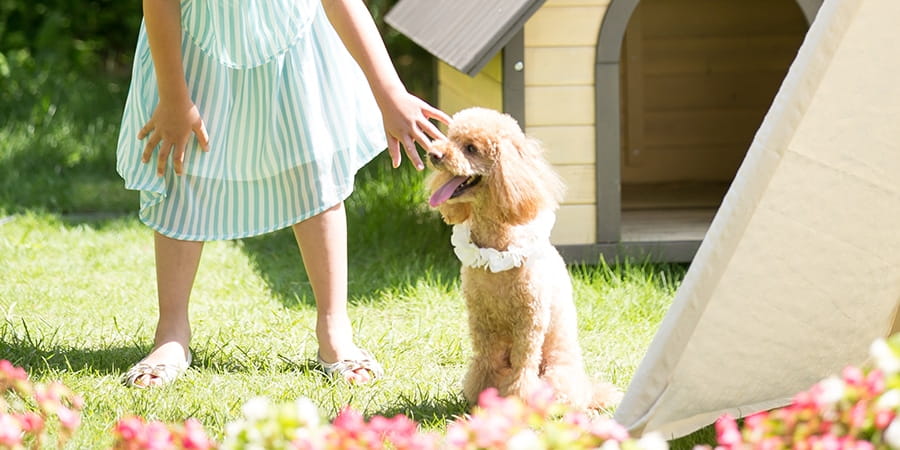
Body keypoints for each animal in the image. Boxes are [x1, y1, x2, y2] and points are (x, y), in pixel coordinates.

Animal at [426, 107, 624, 410]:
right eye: (449, 138)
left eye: (471, 148)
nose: (433, 154)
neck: (496, 249)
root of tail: (588, 391)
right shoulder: (481, 319)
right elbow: (485, 361)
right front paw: (482, 396)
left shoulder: (529, 320)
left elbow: (523, 367)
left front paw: (517, 400)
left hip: (557, 368)